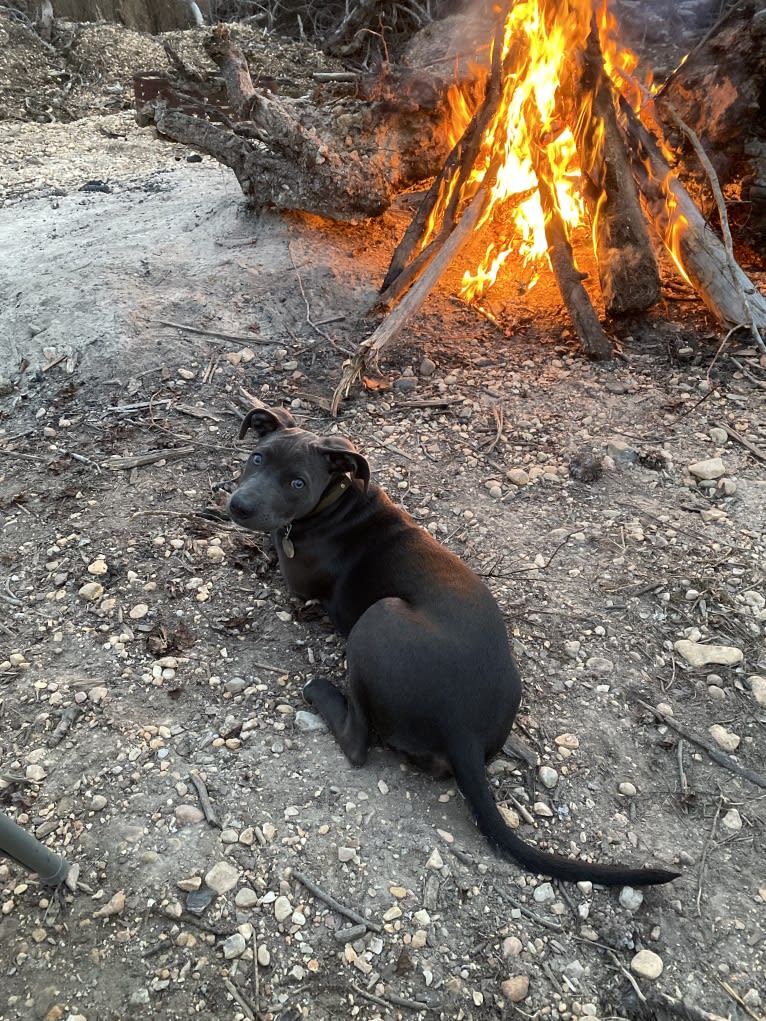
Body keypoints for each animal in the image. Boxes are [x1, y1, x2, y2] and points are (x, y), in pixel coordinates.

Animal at [230, 406, 682, 886]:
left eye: (298, 483)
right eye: (257, 458)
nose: (239, 506)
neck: (338, 501)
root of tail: (462, 729)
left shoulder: (294, 577)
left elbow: (272, 544)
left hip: (378, 618)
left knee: (357, 742)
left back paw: (320, 691)